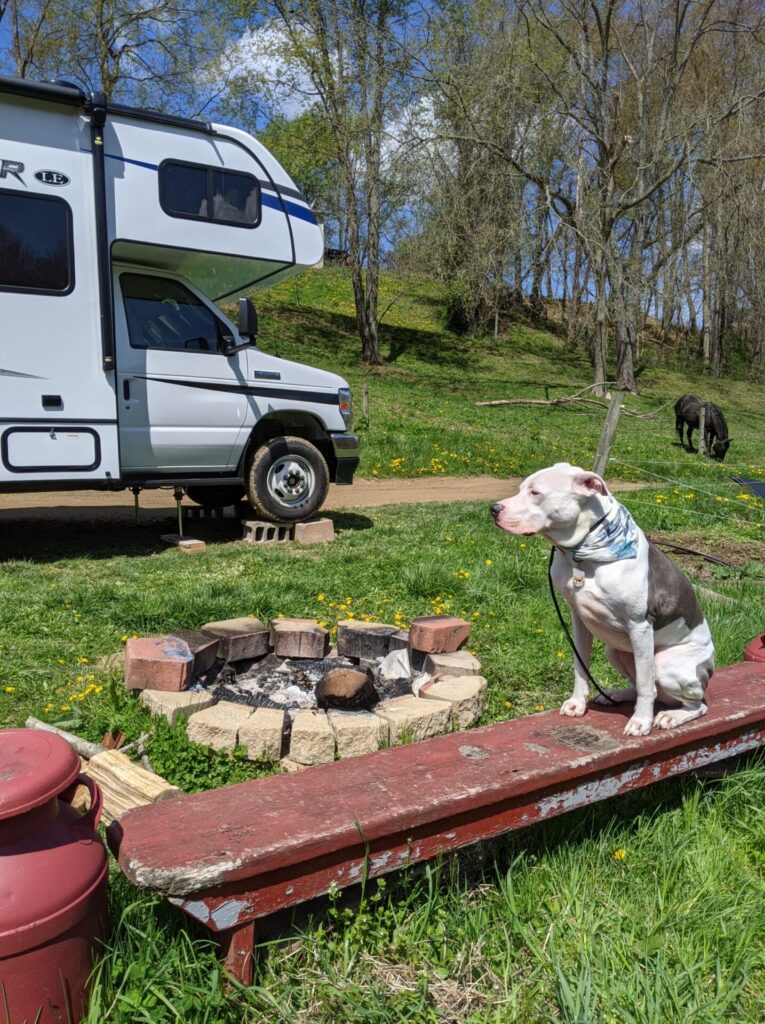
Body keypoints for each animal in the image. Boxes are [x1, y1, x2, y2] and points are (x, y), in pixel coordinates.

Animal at [493, 464, 716, 737]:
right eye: (521, 488)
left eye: (535, 492)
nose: (494, 509)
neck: (583, 551)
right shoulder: (578, 617)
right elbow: (580, 665)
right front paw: (577, 703)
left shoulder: (639, 626)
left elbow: (646, 684)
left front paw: (641, 721)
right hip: (615, 650)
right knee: (640, 684)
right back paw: (618, 694)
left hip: (665, 663)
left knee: (696, 703)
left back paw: (671, 716)